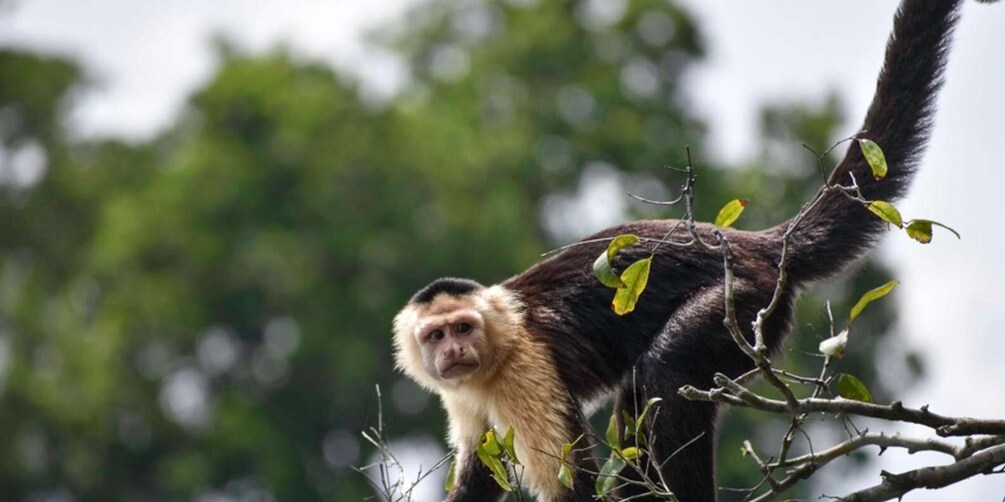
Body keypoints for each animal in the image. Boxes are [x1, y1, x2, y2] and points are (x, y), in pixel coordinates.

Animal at [392, 1, 977, 500]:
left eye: (464, 328)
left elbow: (572, 480)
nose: (453, 351)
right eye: (437, 336)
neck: (494, 353)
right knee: (638, 397)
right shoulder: (462, 396)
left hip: (746, 301)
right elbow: (478, 471)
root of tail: (755, 244)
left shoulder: (526, 368)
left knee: (666, 371)